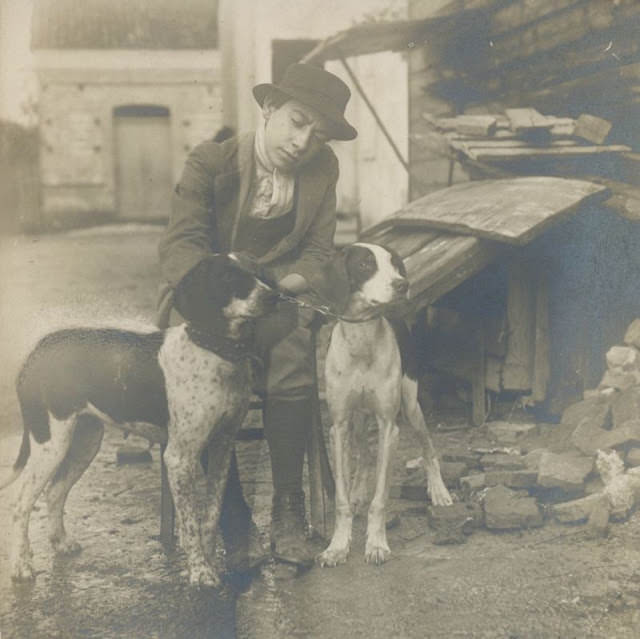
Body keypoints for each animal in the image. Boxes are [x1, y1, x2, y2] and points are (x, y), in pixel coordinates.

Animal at [2, 255, 278, 592]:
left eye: (256, 270)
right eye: (227, 277)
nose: (274, 296)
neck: (215, 351)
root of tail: (37, 351)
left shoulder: (222, 448)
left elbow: (211, 515)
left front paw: (210, 563)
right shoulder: (179, 458)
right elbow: (191, 522)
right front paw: (200, 573)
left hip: (84, 441)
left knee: (54, 492)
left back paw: (62, 543)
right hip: (50, 444)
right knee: (20, 504)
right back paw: (21, 566)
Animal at [318, 242, 450, 568]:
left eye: (395, 264)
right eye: (365, 264)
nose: (403, 284)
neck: (361, 340)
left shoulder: (390, 427)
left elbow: (380, 499)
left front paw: (376, 544)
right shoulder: (338, 426)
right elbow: (340, 499)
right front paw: (337, 546)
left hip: (412, 407)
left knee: (429, 449)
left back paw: (439, 491)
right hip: (357, 420)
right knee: (363, 456)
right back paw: (357, 491)